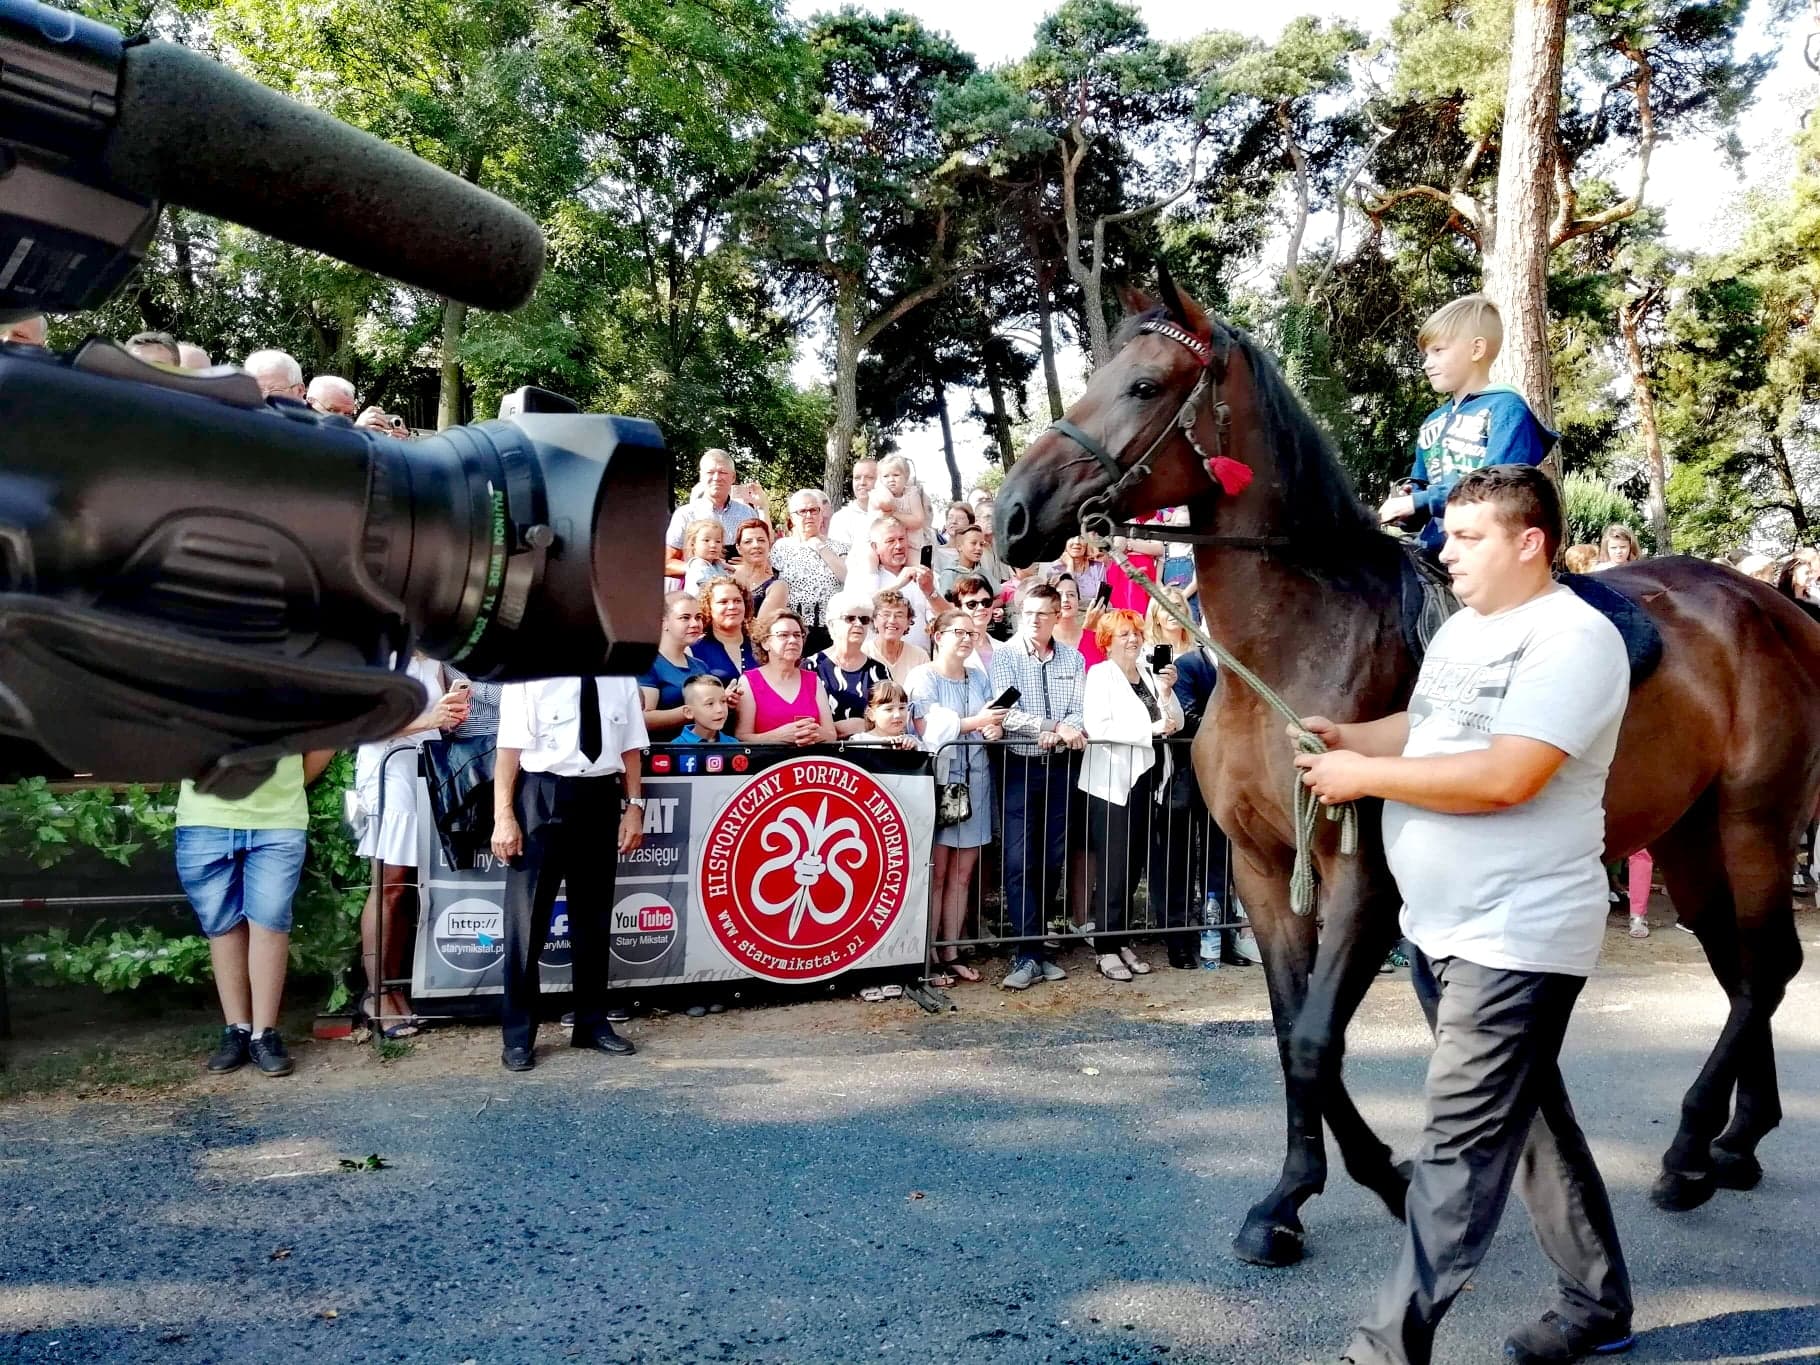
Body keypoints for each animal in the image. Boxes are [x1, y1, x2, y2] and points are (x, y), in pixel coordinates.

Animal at [993, 278, 1820, 1268]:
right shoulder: (1261, 871)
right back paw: (1733, 1143)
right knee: (1742, 970)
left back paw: (1695, 1141)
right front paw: (1306, 1190)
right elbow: (1293, 1036)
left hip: (1754, 823)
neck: (1292, 645)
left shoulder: (1364, 875)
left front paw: (1360, 1182)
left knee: (1767, 967)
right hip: (1693, 839)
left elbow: (1317, 1039)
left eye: (1147, 385)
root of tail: (1778, 604)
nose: (1010, 513)